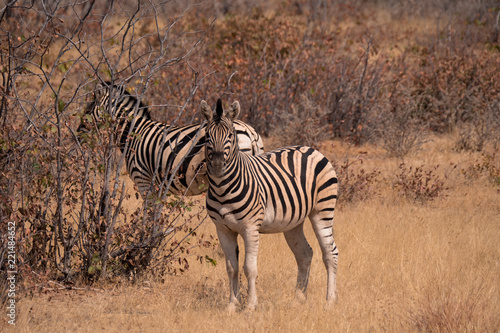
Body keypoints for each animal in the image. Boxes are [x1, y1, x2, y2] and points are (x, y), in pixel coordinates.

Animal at [77, 82, 266, 197]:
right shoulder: (160, 188)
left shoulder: (144, 180)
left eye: (88, 110)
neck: (134, 132)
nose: (78, 135)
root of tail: (249, 131)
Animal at [200, 97, 340, 310]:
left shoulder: (250, 227)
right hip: (294, 221)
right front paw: (232, 306)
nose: (216, 166)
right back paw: (298, 299)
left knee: (330, 253)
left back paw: (330, 302)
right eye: (207, 135)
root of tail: (311, 149)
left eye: (231, 135)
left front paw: (250, 306)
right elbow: (231, 268)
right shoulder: (222, 230)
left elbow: (249, 268)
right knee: (304, 253)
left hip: (322, 210)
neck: (223, 189)